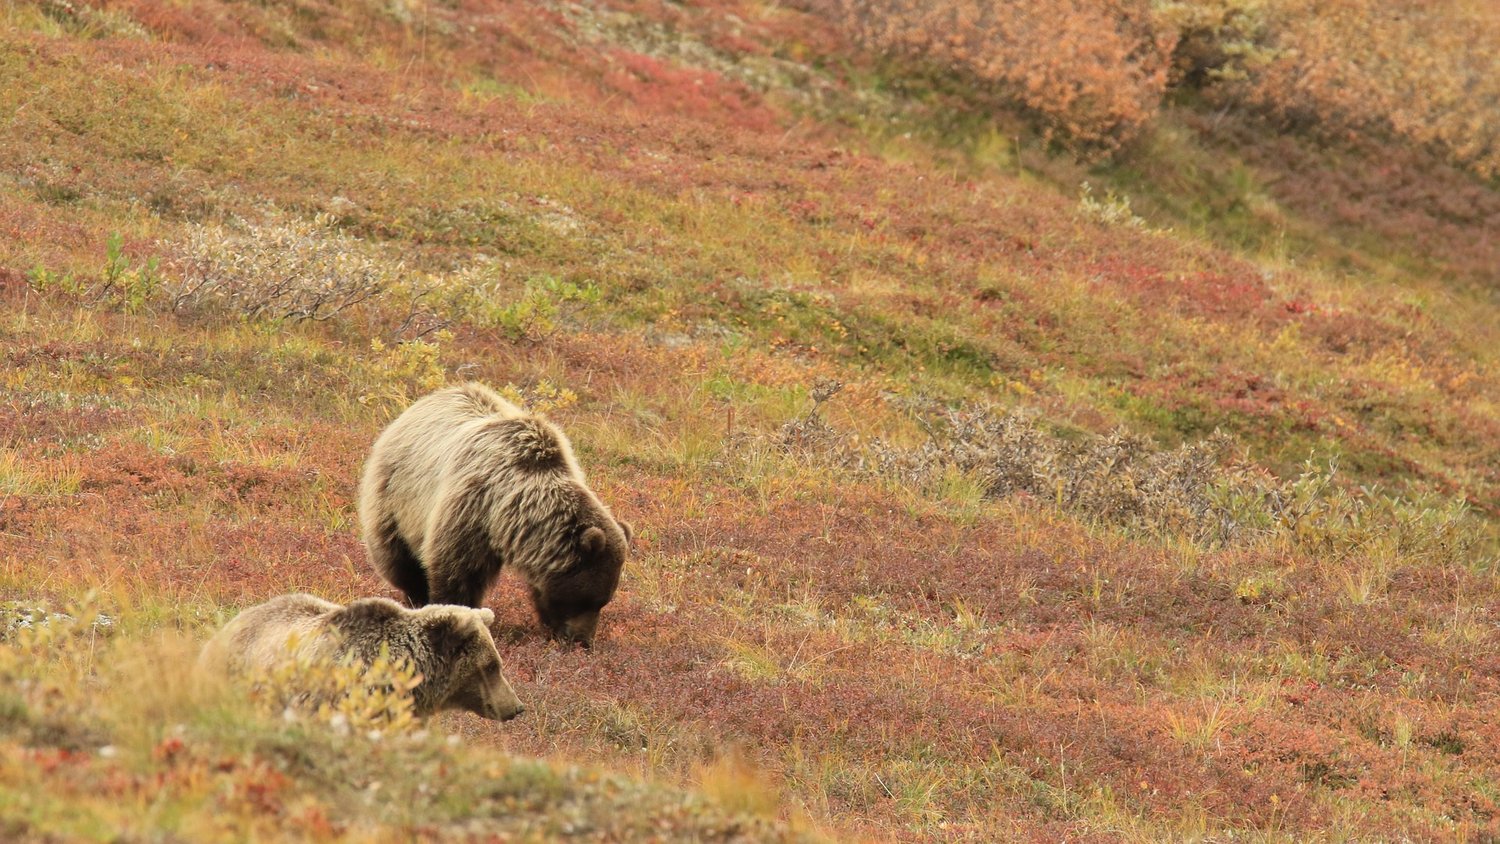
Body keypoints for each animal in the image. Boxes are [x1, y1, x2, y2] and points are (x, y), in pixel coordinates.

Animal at [358, 382, 632, 646]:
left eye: (604, 600)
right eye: (587, 599)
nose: (583, 641)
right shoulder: (470, 508)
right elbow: (456, 573)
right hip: (393, 497)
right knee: (398, 559)